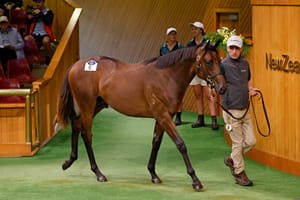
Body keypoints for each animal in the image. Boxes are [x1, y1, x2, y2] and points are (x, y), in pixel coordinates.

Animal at [55, 40, 226, 191]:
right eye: (209, 61)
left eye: (219, 60)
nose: (222, 88)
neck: (166, 76)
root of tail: (76, 65)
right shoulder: (163, 116)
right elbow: (181, 144)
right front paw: (195, 180)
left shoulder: (163, 117)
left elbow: (156, 142)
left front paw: (153, 174)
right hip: (87, 107)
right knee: (86, 135)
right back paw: (98, 173)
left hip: (97, 105)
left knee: (76, 125)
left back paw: (69, 161)